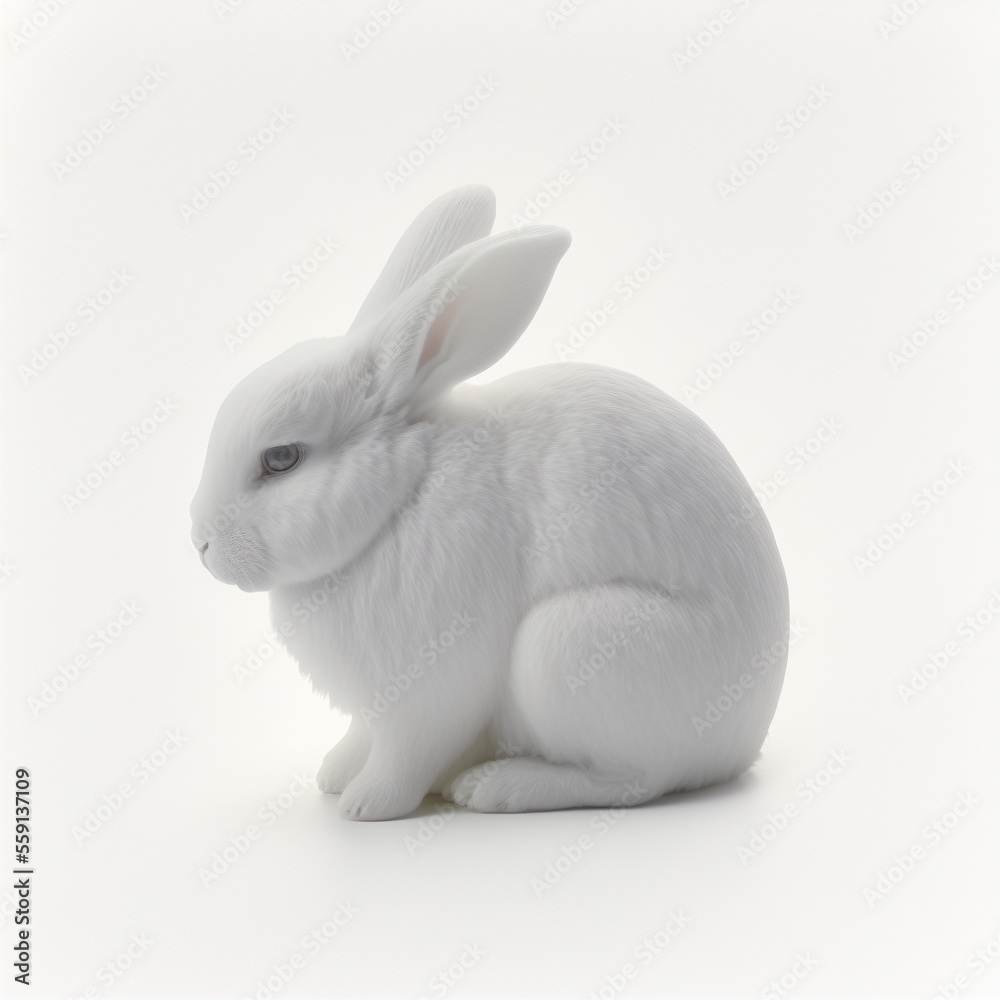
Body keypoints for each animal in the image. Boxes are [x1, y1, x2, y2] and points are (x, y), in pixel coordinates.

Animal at [190, 185, 789, 821]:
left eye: (281, 458)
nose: (200, 543)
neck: (400, 498)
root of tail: (741, 745)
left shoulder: (432, 690)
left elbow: (405, 755)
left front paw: (366, 805)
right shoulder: (375, 704)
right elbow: (361, 735)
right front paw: (334, 774)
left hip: (573, 645)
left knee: (635, 780)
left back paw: (496, 786)